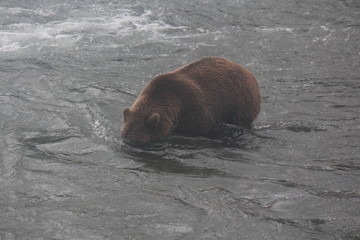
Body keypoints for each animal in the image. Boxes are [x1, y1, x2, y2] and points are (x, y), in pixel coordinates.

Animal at [122, 56, 260, 146]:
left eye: (136, 140)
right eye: (123, 135)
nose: (127, 142)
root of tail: (249, 72)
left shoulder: (195, 110)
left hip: (240, 102)